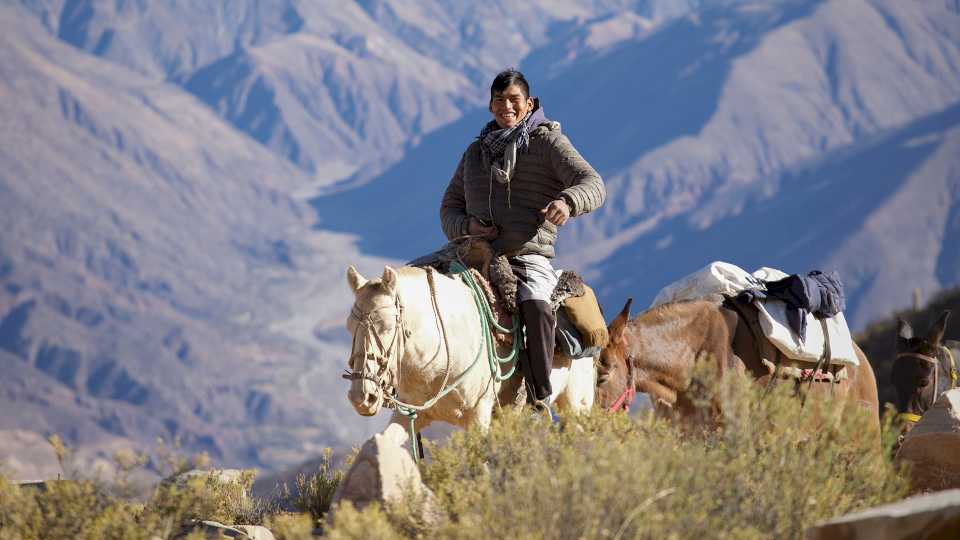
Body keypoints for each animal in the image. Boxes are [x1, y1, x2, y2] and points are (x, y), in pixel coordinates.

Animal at [344, 264, 596, 432]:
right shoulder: (410, 416)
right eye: (349, 327)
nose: (361, 397)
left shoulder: (478, 416)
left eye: (387, 327)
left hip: (576, 404)